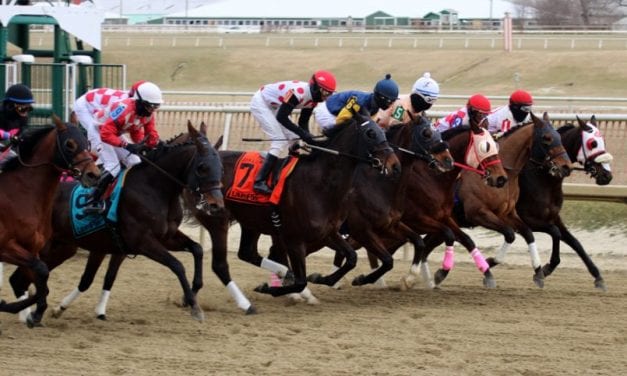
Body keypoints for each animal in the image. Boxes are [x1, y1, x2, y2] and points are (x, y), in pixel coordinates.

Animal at [0, 115, 100, 326]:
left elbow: (41, 280)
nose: (93, 175)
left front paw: (32, 313)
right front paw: (30, 311)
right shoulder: (5, 246)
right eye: (69, 144)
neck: (20, 194)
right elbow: (40, 273)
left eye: (86, 141)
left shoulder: (32, 249)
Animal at [9, 122, 227, 322]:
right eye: (202, 167)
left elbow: (197, 249)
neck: (154, 186)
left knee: (20, 279)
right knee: (20, 278)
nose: (216, 204)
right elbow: (177, 265)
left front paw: (194, 290)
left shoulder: (165, 237)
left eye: (221, 167)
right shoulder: (142, 242)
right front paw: (194, 306)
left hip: (62, 248)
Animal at [422, 111, 576, 288]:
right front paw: (489, 263)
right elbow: (510, 234)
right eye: (546, 138)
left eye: (558, 136)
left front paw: (539, 271)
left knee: (427, 246)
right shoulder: (478, 213)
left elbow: (528, 234)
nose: (566, 166)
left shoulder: (508, 214)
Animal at [516, 114, 616, 290]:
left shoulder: (553, 216)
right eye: (592, 143)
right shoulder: (526, 218)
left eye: (603, 140)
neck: (543, 177)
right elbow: (555, 232)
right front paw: (545, 269)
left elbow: (575, 242)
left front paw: (598, 276)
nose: (607, 175)